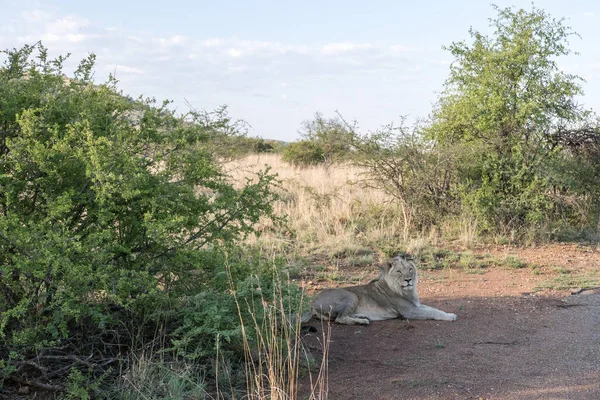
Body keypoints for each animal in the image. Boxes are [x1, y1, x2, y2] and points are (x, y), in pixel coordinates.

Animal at [302, 256, 458, 324]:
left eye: (410, 269)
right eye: (399, 272)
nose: (408, 280)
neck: (407, 291)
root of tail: (311, 303)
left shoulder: (416, 305)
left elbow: (434, 309)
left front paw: (449, 313)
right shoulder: (409, 311)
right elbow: (432, 312)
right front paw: (450, 317)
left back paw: (362, 316)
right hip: (351, 295)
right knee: (340, 319)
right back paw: (362, 321)